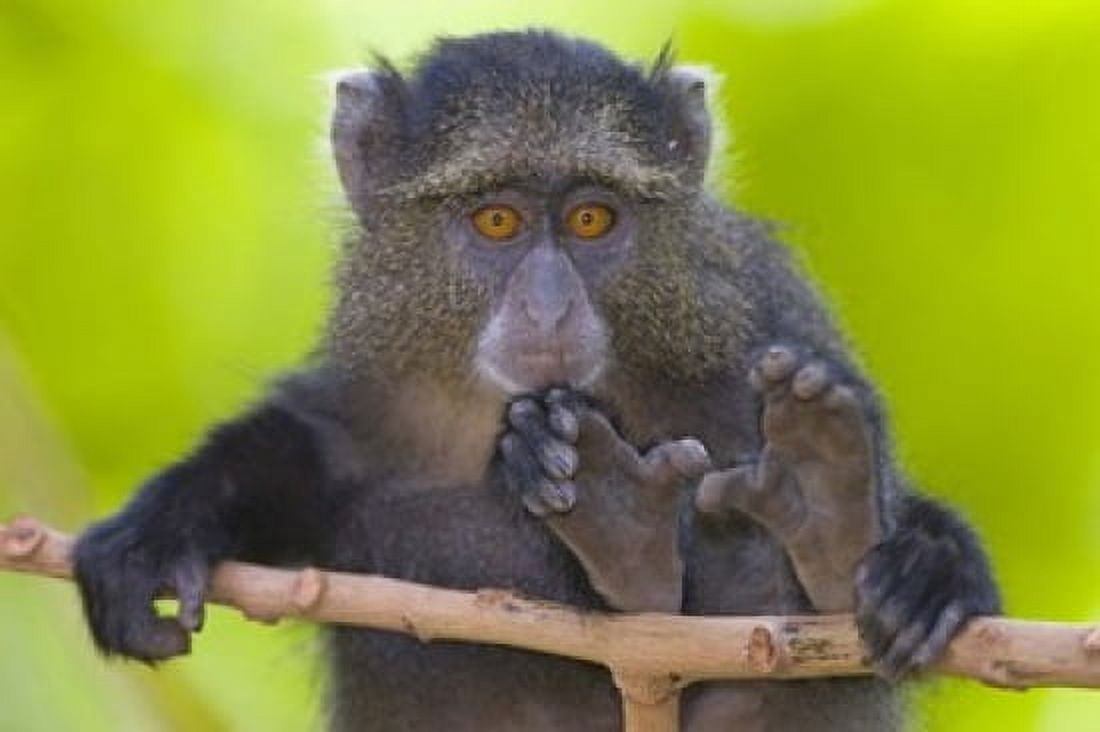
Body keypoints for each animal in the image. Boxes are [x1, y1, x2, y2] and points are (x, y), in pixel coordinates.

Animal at [72, 30, 1001, 731]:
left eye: (591, 219)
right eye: (497, 220)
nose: (550, 308)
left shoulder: (764, 322)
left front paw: (929, 566)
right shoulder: (371, 389)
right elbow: (305, 452)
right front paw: (153, 539)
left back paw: (817, 527)